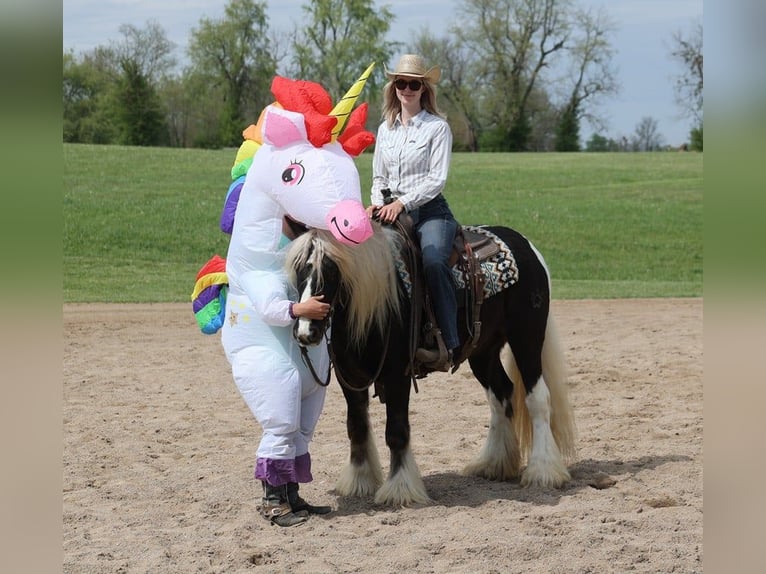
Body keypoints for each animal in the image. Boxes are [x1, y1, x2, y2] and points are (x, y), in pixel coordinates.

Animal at [288, 225, 576, 508]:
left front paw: (400, 489)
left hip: (526, 339)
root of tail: (525, 244)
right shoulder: (350, 377)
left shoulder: (397, 374)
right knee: (501, 395)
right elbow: (356, 427)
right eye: (299, 269)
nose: (306, 331)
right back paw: (493, 464)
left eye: (331, 270)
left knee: (537, 399)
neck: (375, 306)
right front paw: (360, 481)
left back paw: (543, 471)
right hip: (483, 351)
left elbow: (396, 431)